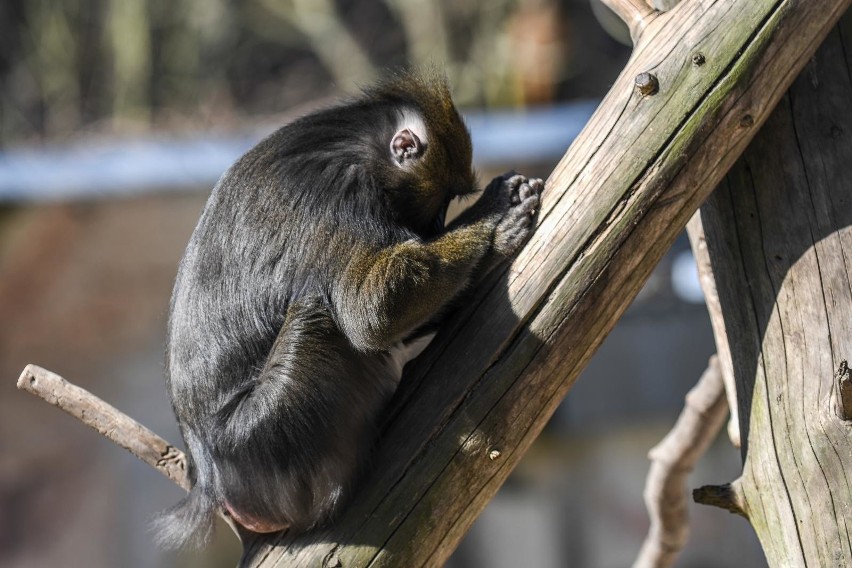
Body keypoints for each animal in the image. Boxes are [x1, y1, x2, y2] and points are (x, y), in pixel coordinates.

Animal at [152, 71, 540, 552]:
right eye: (442, 200)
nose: (434, 228)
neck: (355, 144)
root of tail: (213, 486)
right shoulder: (340, 191)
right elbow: (372, 310)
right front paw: (495, 216)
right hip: (271, 436)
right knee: (317, 311)